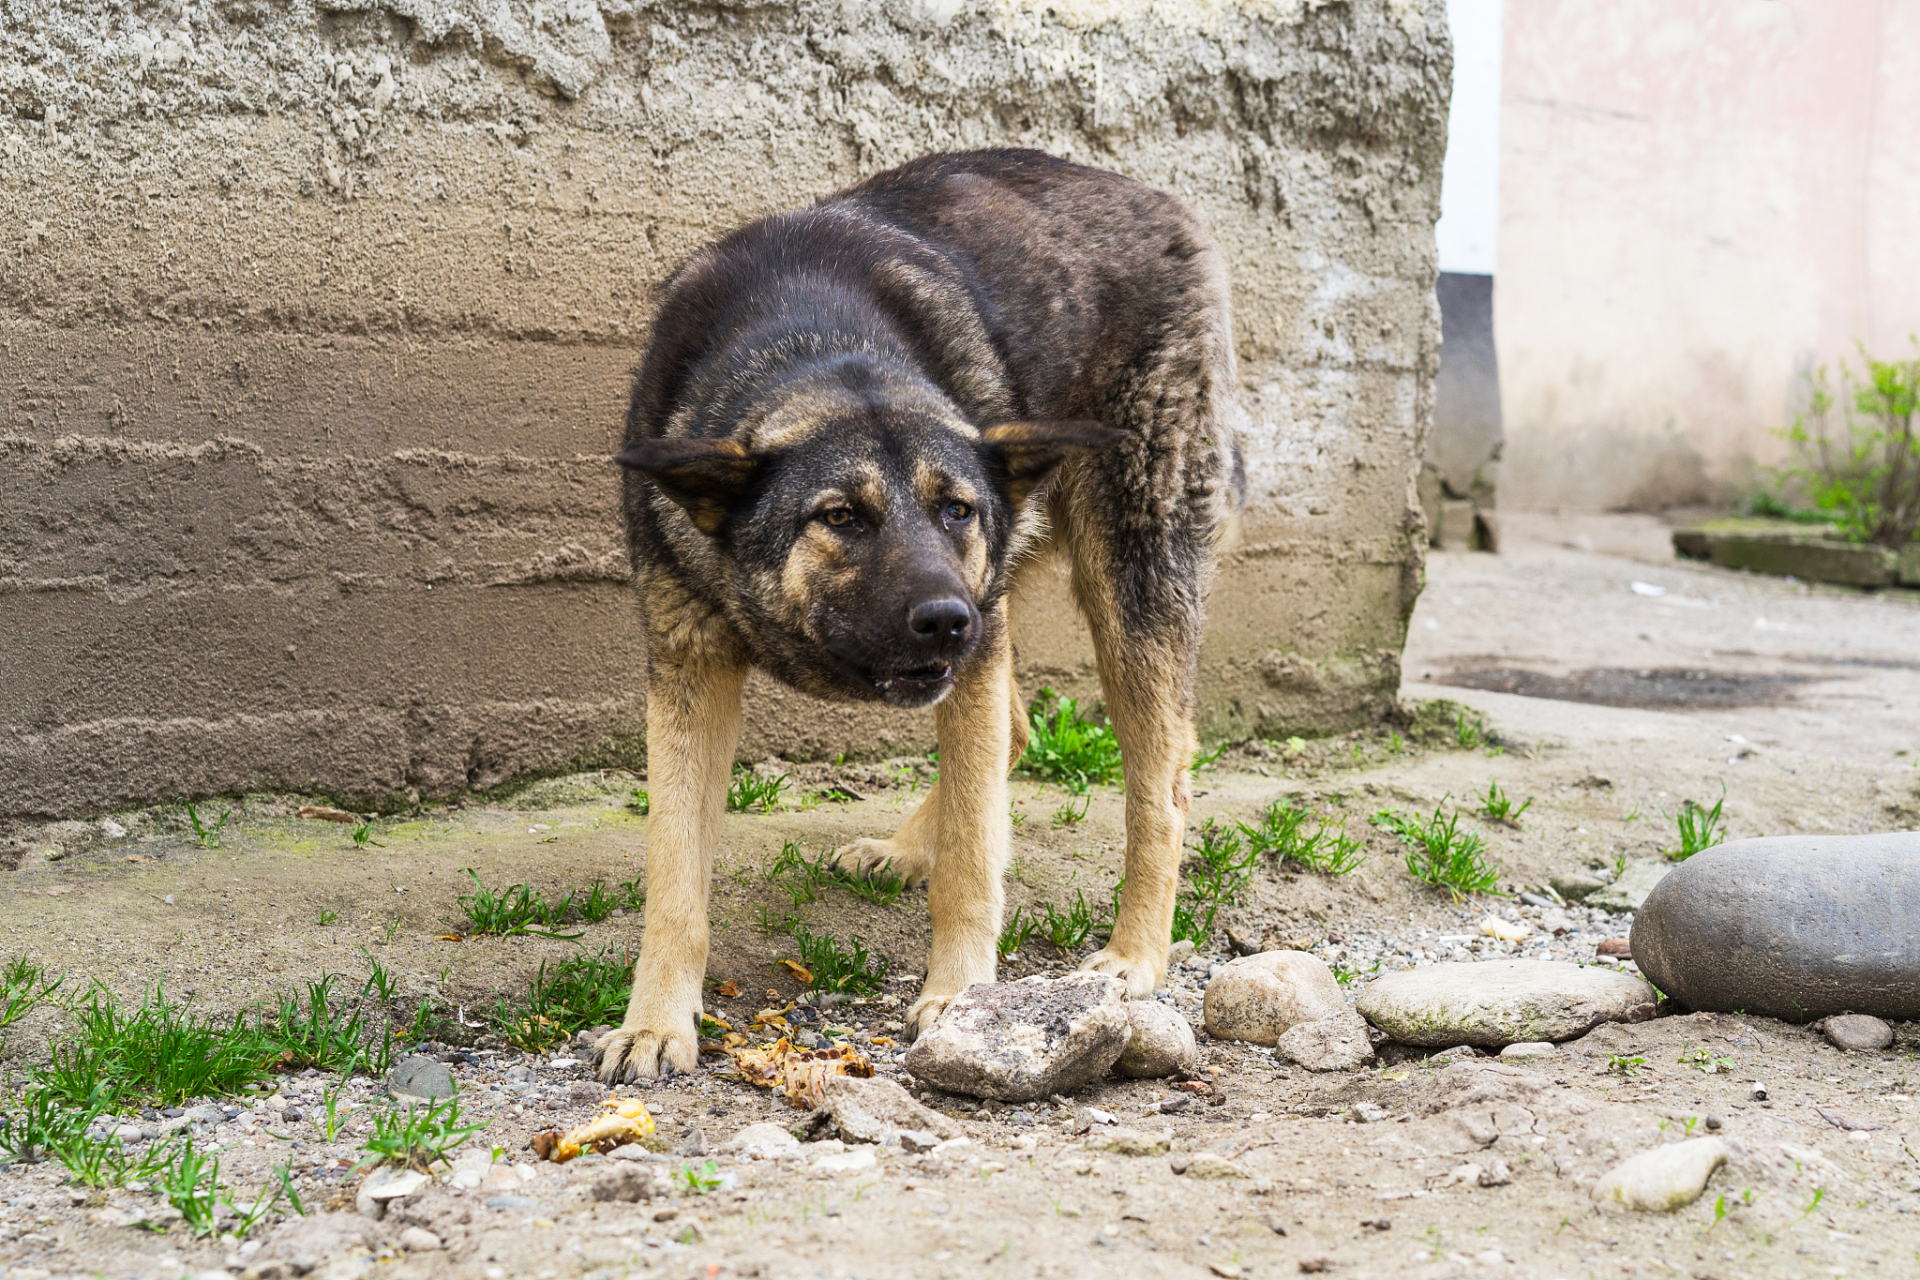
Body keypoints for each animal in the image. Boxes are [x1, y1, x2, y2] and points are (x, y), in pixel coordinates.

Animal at [606, 152, 1251, 1090]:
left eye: (957, 509)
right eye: (840, 516)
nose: (946, 620)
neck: (813, 349)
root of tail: (1158, 200)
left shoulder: (978, 644)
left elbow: (976, 862)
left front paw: (961, 997)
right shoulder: (688, 666)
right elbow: (675, 879)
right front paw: (655, 1021)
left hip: (1123, 590)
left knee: (1159, 792)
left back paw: (1135, 956)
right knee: (1014, 730)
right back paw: (911, 846)